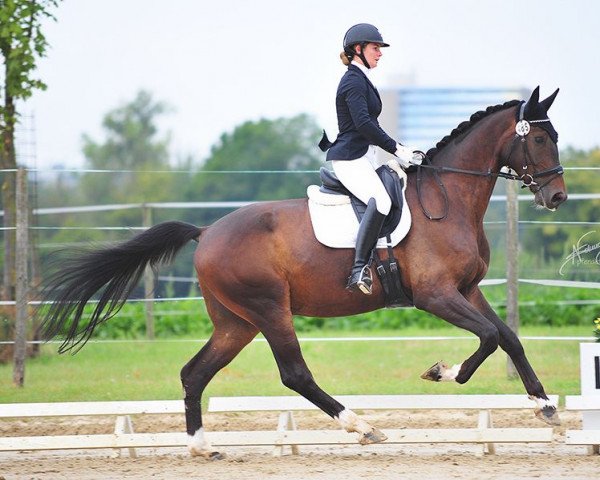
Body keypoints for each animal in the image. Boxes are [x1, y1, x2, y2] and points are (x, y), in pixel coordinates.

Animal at [42, 86, 568, 458]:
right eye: (541, 138)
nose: (558, 196)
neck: (448, 201)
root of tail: (206, 231)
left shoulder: (467, 289)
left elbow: (508, 337)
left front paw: (547, 409)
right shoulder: (435, 295)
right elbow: (489, 338)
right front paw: (443, 372)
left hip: (236, 322)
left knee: (195, 373)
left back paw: (203, 447)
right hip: (269, 309)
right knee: (294, 373)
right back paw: (363, 427)